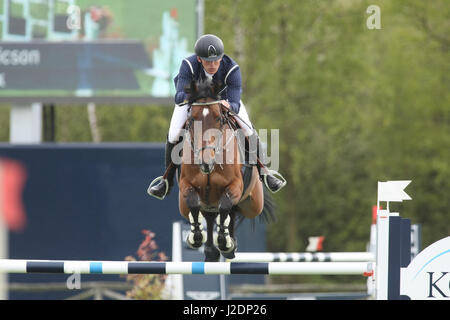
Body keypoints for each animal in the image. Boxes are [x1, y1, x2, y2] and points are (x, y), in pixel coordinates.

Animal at [175, 79, 274, 262]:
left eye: (218, 118)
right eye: (192, 119)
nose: (206, 161)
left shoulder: (235, 185)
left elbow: (225, 206)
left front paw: (224, 241)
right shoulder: (186, 184)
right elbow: (193, 202)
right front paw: (196, 236)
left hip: (254, 204)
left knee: (230, 211)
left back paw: (228, 246)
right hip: (193, 204)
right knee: (208, 215)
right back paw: (210, 250)